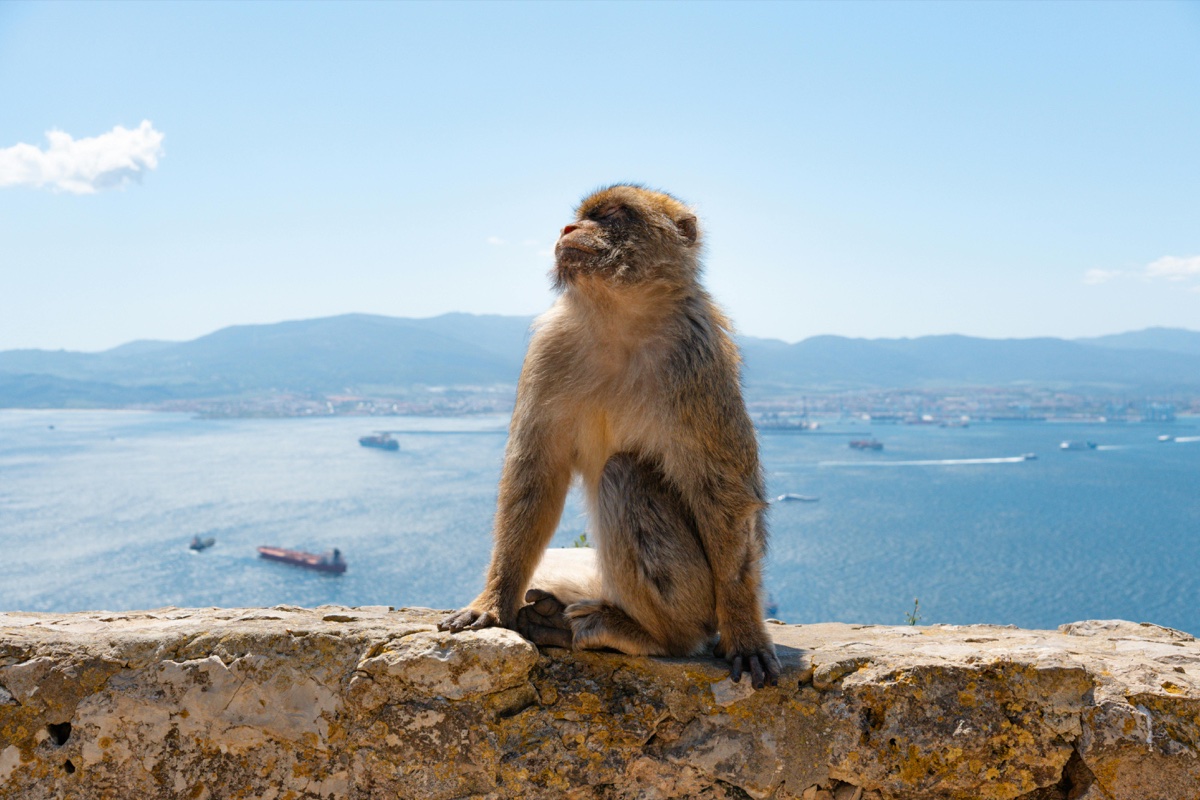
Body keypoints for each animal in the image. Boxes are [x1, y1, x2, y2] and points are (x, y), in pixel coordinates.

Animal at [439, 184, 780, 689]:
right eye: (582, 215)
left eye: (614, 215)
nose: (568, 228)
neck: (618, 319)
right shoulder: (548, 350)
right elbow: (534, 475)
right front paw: (493, 602)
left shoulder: (698, 361)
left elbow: (725, 495)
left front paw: (745, 631)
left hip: (698, 599)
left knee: (626, 473)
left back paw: (649, 635)